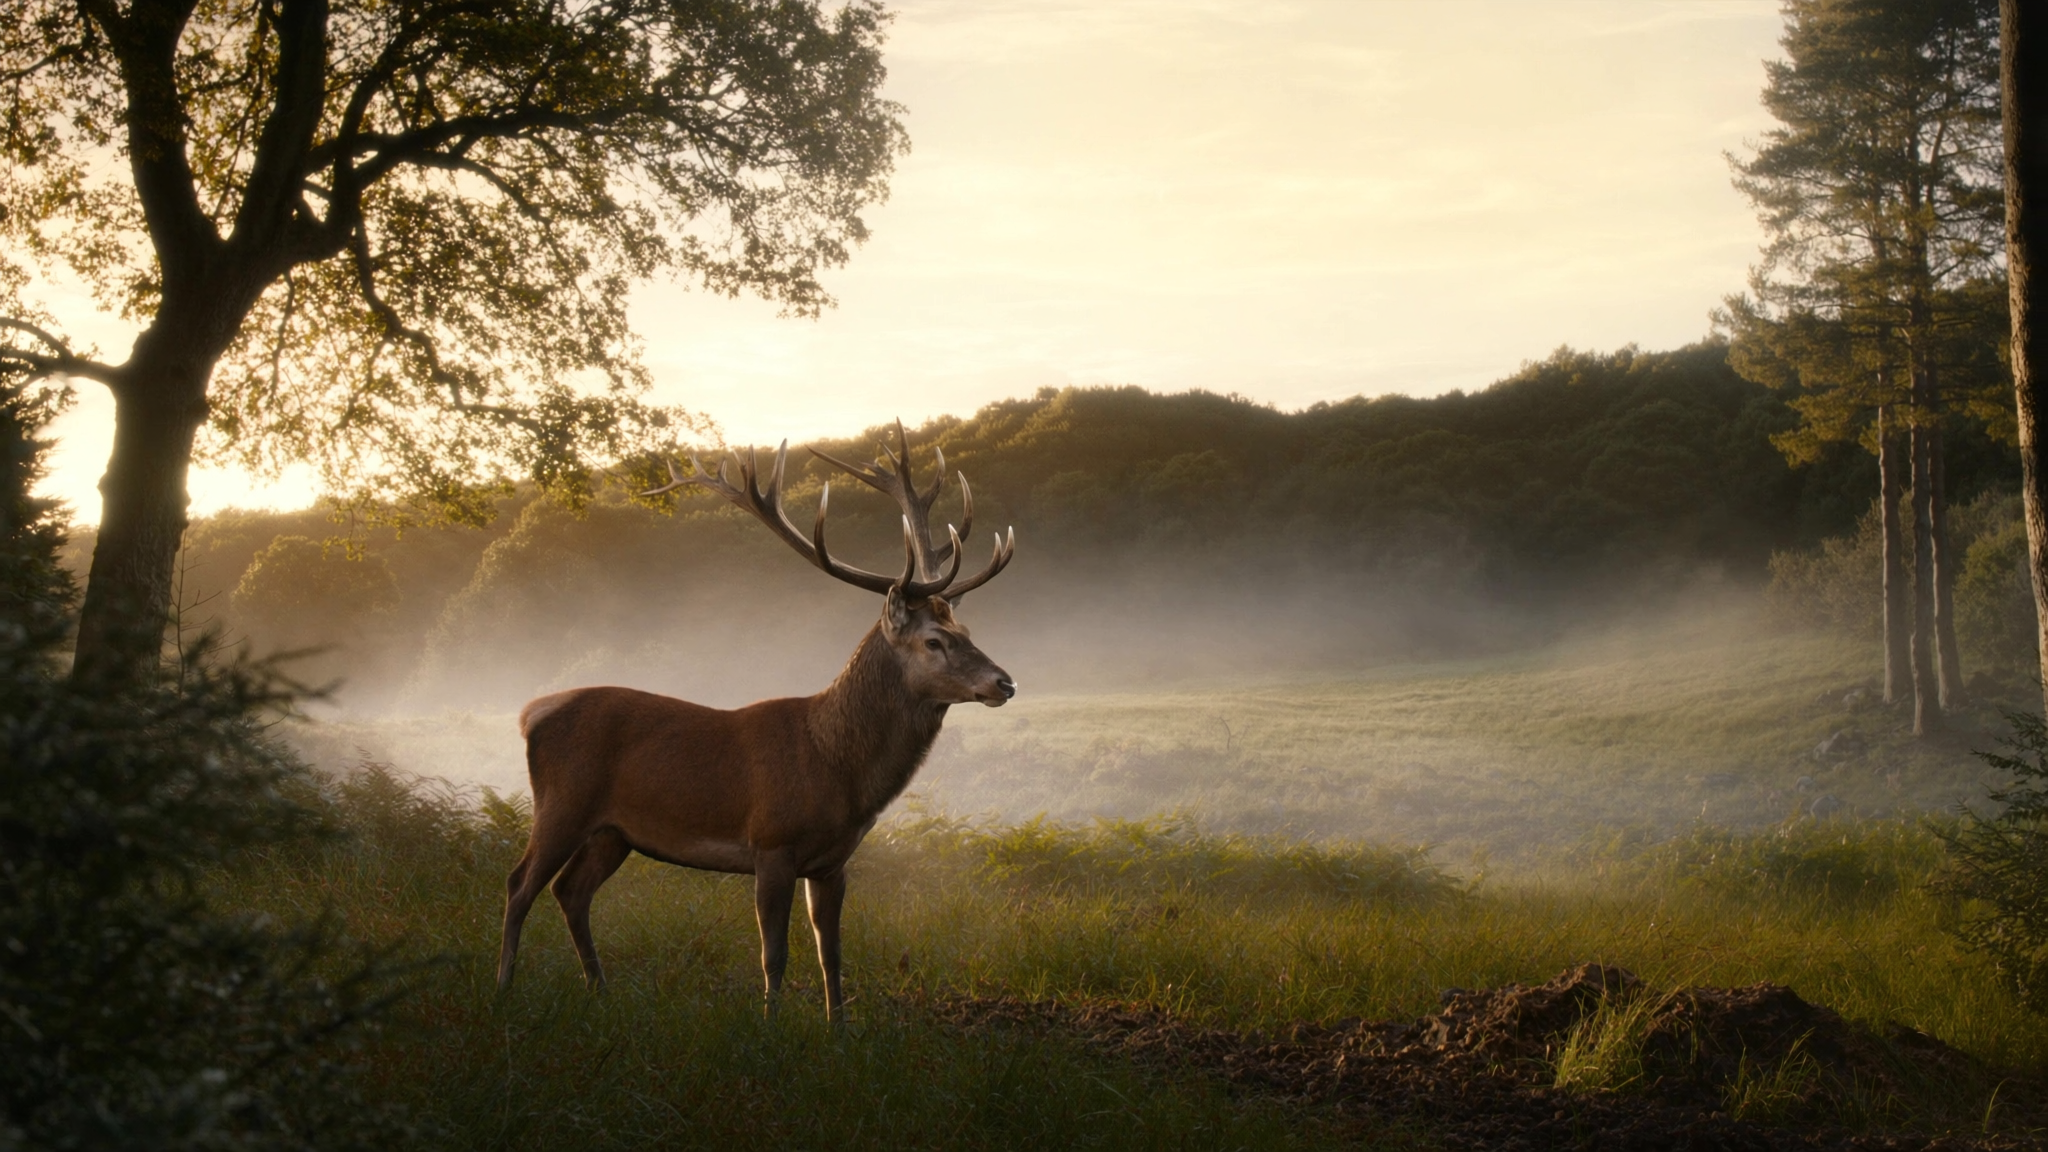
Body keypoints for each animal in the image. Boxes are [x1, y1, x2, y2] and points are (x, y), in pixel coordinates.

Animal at [496, 424, 1016, 1023]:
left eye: (967, 631)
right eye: (933, 641)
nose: (1004, 683)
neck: (835, 768)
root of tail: (532, 713)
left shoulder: (833, 862)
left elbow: (831, 953)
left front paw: (838, 1028)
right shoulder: (771, 842)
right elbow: (774, 952)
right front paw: (771, 1025)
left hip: (614, 831)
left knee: (571, 891)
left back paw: (598, 990)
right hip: (562, 802)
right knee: (519, 883)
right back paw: (502, 988)